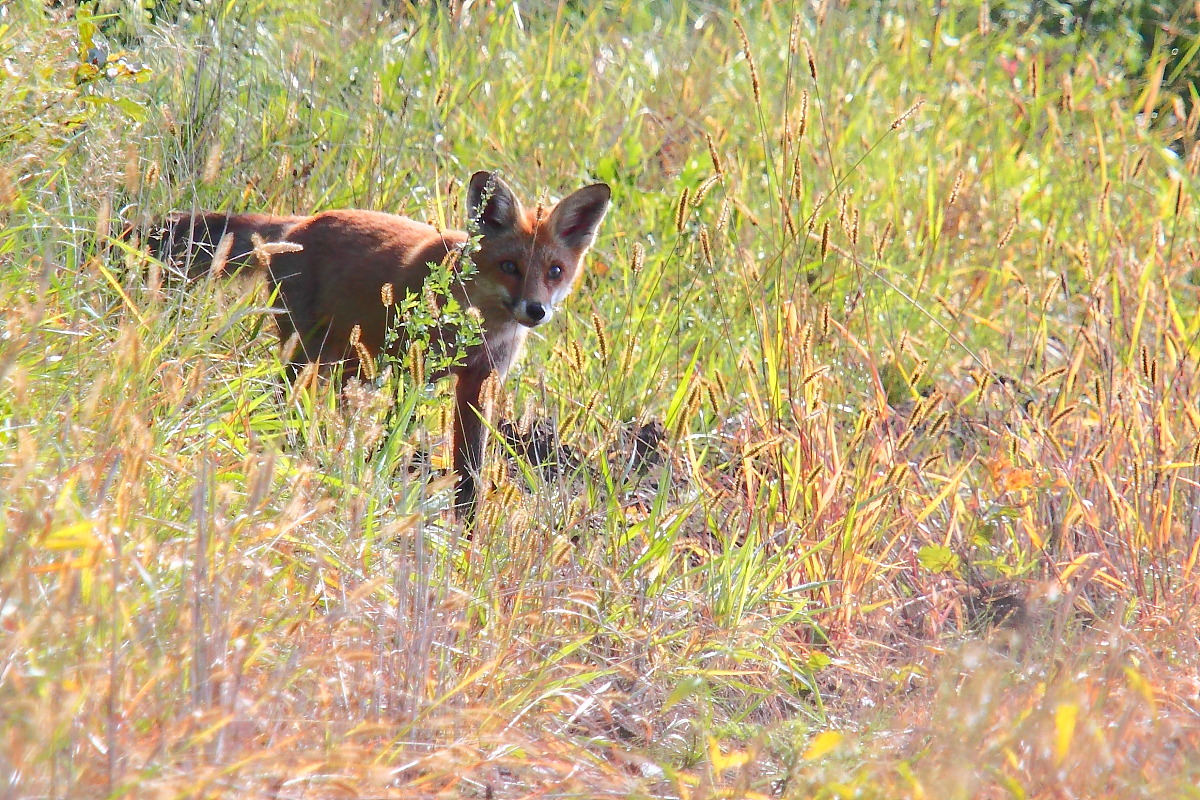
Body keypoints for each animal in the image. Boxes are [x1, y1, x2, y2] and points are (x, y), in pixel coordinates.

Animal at [159, 172, 609, 515]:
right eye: (510, 267)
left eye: (555, 271)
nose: (535, 310)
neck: (477, 318)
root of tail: (299, 223)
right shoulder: (413, 369)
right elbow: (397, 430)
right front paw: (382, 478)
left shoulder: (480, 382)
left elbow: (471, 473)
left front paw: (467, 536)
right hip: (306, 354)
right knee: (287, 405)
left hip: (346, 363)